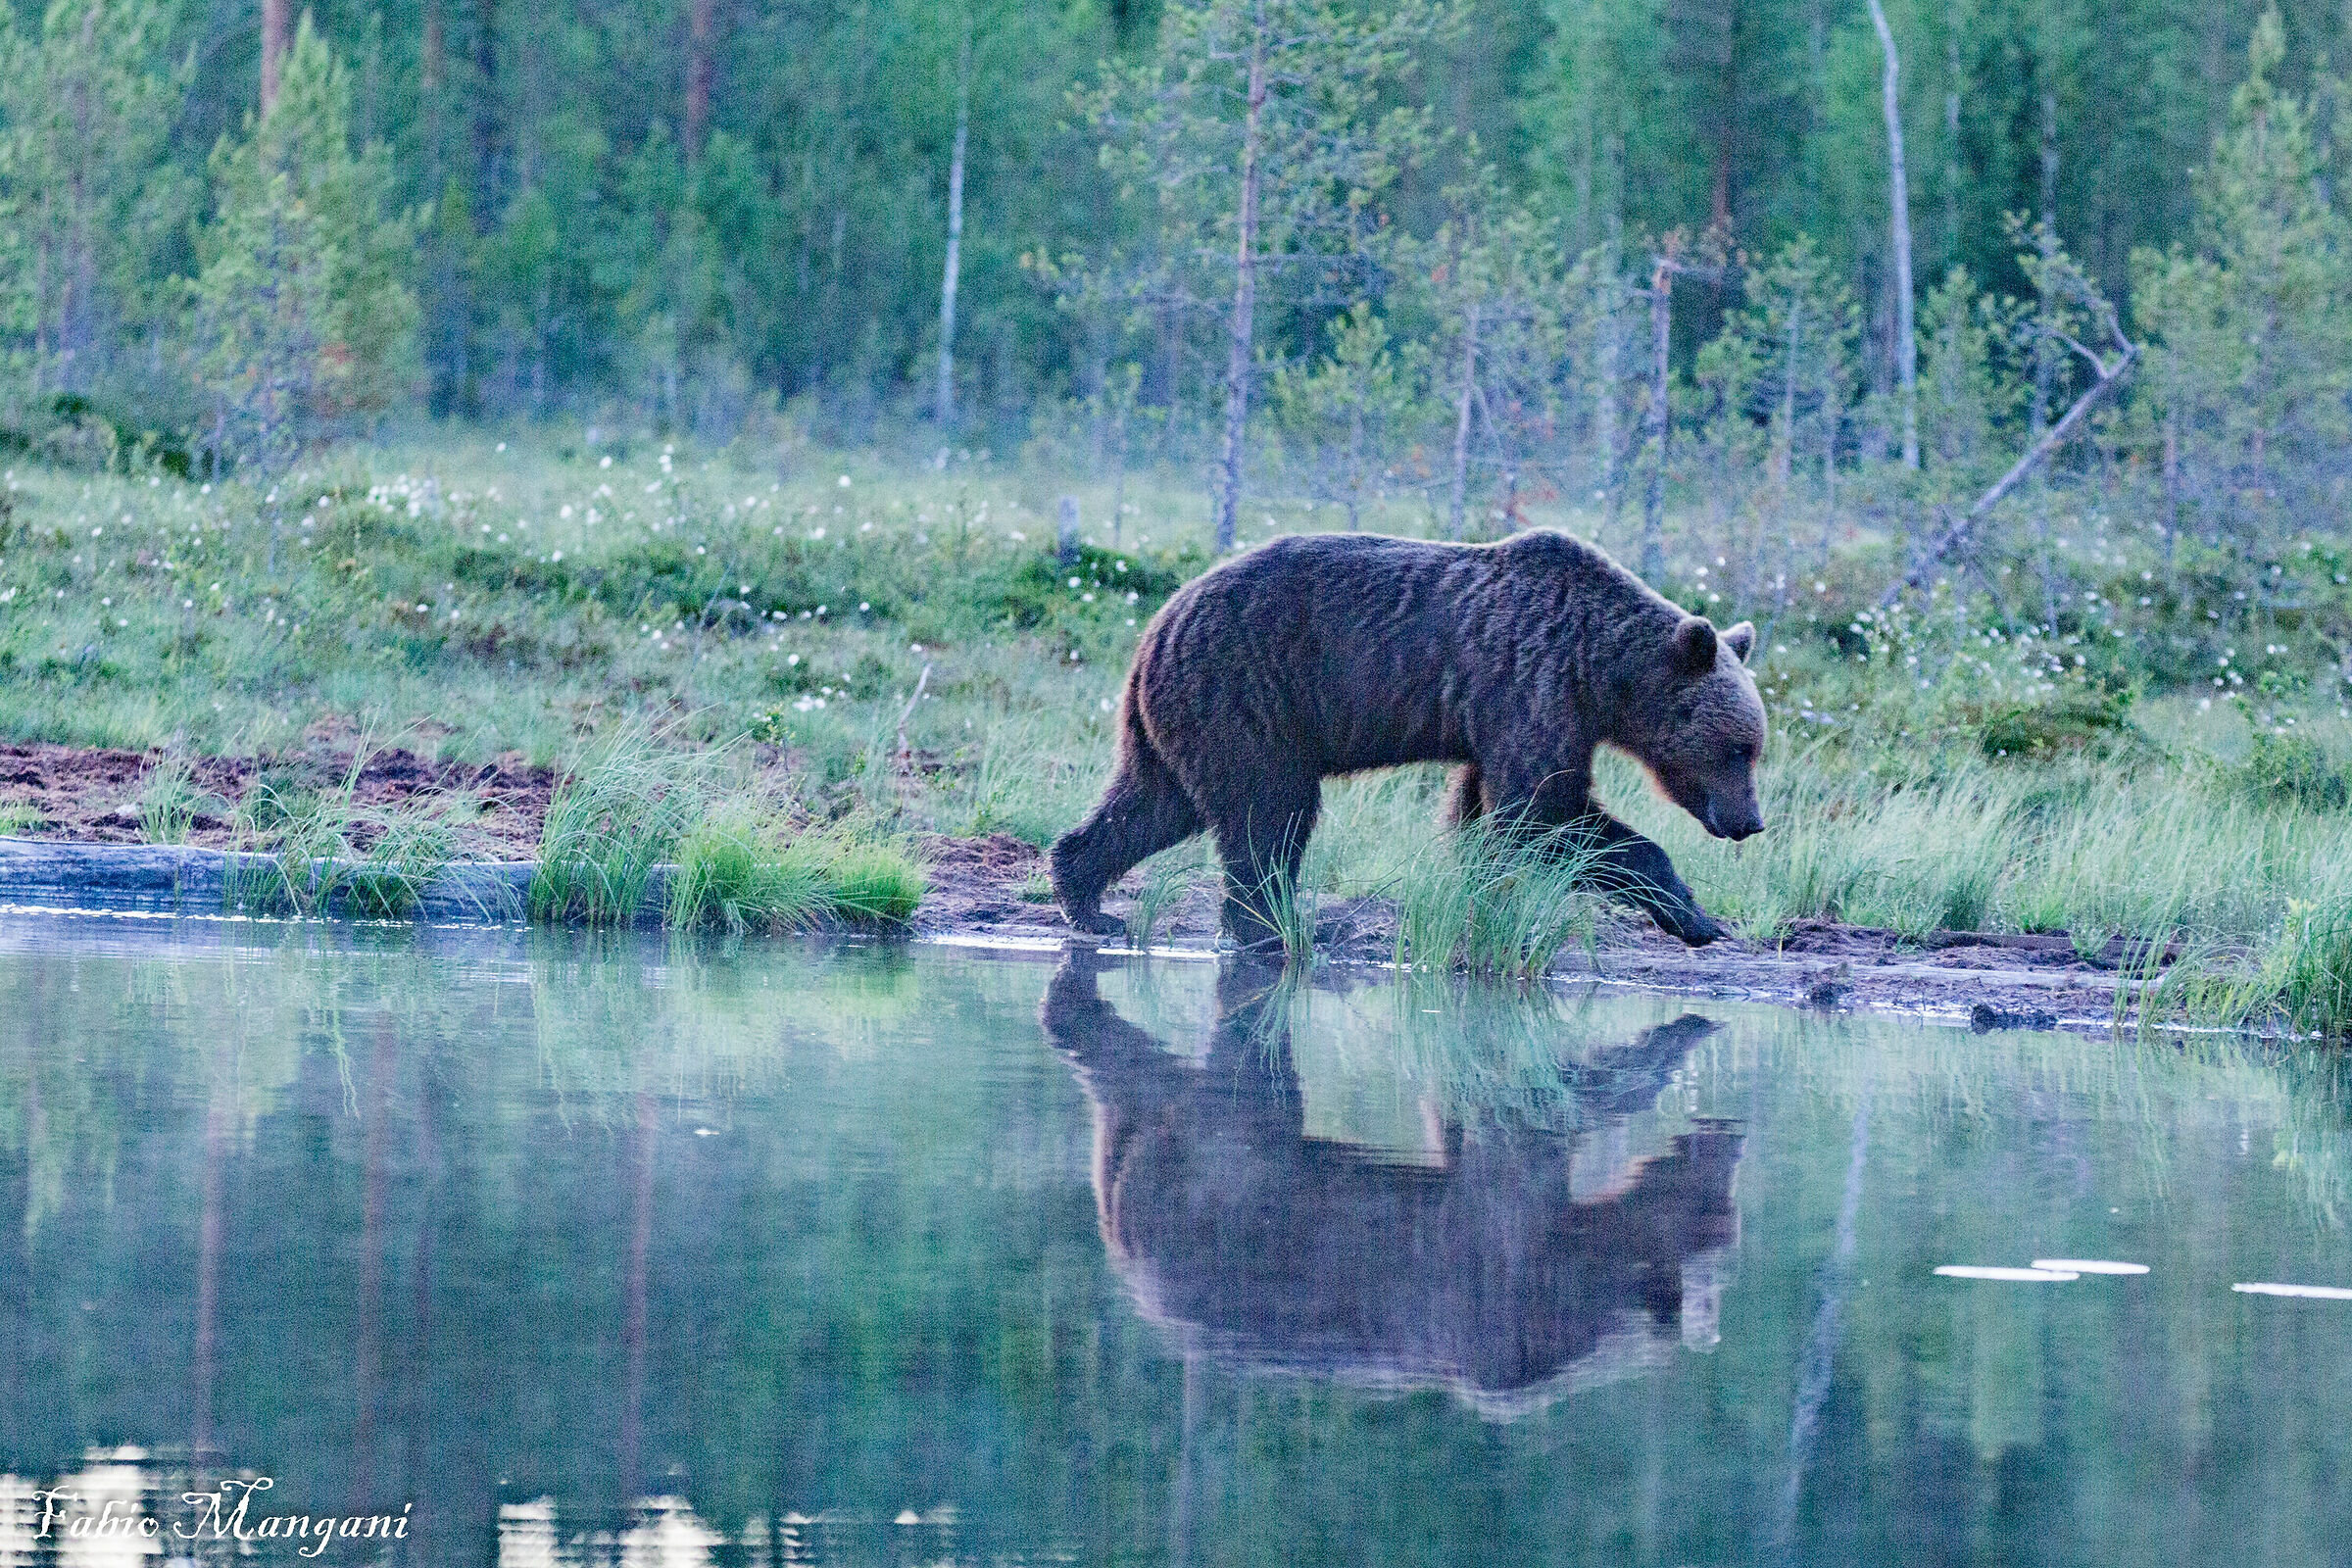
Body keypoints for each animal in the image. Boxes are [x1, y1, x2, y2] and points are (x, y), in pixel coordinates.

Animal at [1048, 529, 1766, 947]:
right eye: (1737, 748)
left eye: (1756, 748)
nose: (1750, 822)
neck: (1600, 672)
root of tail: (1157, 620)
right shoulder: (1533, 683)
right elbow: (1544, 810)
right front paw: (1697, 918)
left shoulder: (1512, 716)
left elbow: (1485, 811)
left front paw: (1479, 891)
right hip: (1246, 691)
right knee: (1270, 811)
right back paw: (1272, 925)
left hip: (1183, 715)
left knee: (1153, 802)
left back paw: (1086, 897)